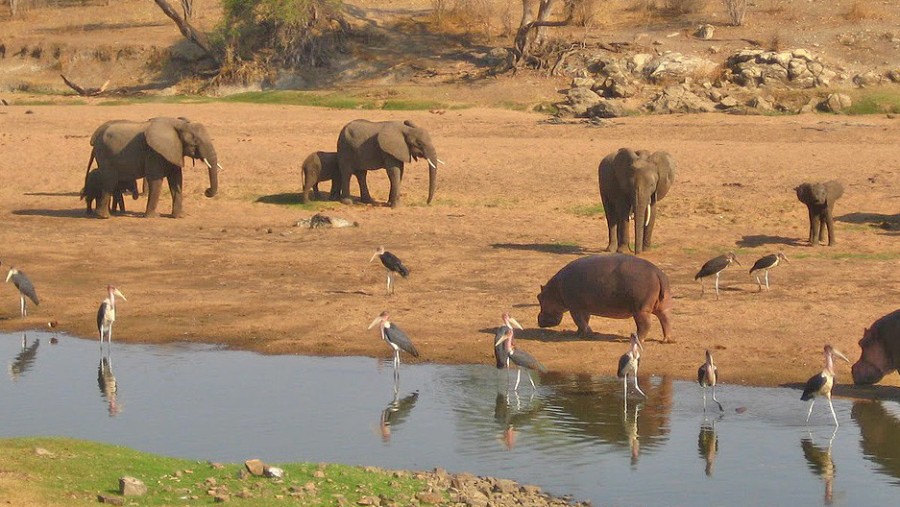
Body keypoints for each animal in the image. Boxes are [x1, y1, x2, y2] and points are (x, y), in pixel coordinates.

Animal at [86, 118, 220, 219]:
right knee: (110, 180)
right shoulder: (154, 152)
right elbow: (156, 180)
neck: (180, 125)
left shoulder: (173, 151)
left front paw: (179, 216)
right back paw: (104, 216)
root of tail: (95, 141)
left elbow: (176, 179)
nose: (207, 191)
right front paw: (153, 216)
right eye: (195, 143)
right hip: (105, 154)